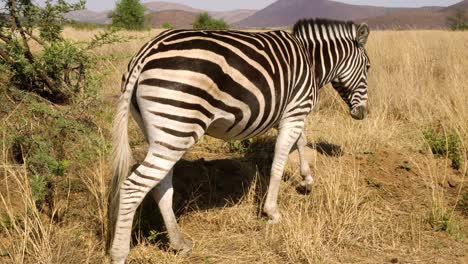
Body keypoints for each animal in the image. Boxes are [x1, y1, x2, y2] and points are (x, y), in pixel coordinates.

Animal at [109, 18, 370, 262]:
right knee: (134, 187)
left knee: (160, 184)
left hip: (161, 132)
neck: (311, 60)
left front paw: (306, 180)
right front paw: (272, 212)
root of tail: (146, 51)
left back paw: (178, 242)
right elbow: (280, 163)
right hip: (178, 124)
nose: (362, 114)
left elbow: (301, 142)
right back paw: (119, 253)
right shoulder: (296, 110)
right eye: (368, 67)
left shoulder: (286, 115)